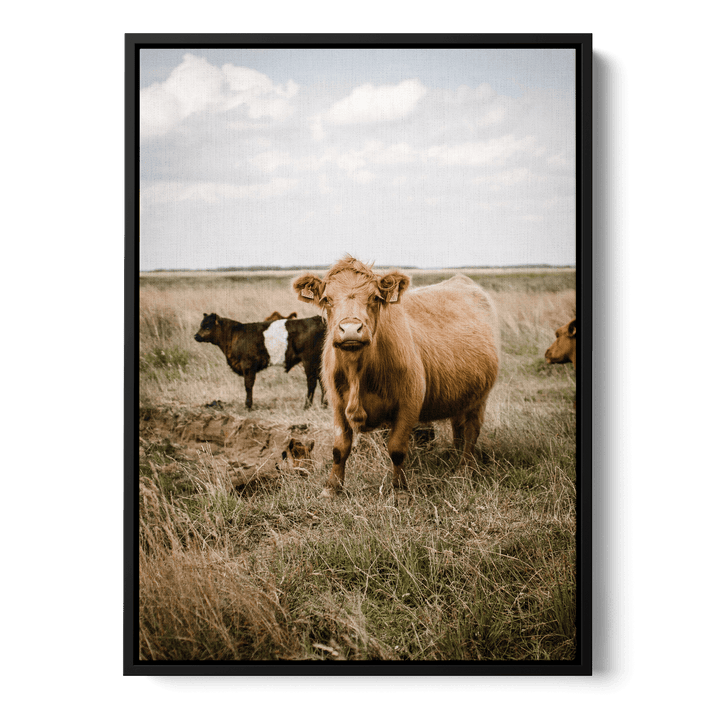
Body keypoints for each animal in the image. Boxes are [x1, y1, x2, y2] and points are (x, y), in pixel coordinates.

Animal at [193, 313, 326, 410]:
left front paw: (248, 406)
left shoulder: (248, 365)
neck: (233, 335)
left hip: (309, 360)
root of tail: (317, 318)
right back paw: (324, 405)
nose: (196, 336)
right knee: (322, 380)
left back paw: (307, 406)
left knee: (312, 382)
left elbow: (248, 385)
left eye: (207, 327)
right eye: (201, 324)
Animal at [293, 255, 500, 501]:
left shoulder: (409, 403)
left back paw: (464, 469)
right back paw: (454, 457)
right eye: (326, 299)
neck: (358, 372)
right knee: (458, 426)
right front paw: (331, 488)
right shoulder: (337, 404)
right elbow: (340, 448)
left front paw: (400, 490)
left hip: (480, 397)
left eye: (374, 297)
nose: (351, 329)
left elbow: (397, 449)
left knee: (471, 431)